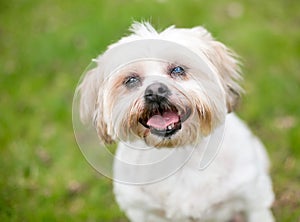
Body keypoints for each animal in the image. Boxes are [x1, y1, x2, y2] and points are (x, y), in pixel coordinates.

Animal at [77, 22, 274, 222]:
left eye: (178, 70)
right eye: (131, 80)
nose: (155, 91)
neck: (180, 152)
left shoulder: (253, 197)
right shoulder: (140, 210)